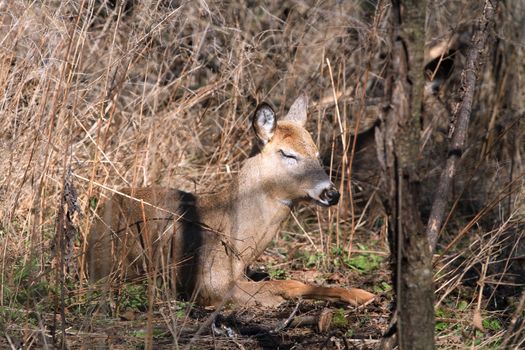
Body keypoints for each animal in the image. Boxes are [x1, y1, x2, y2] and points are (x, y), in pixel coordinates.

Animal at [87, 94, 372, 308]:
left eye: (317, 154)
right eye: (288, 154)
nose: (331, 193)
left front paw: (361, 295)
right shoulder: (208, 283)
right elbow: (286, 284)